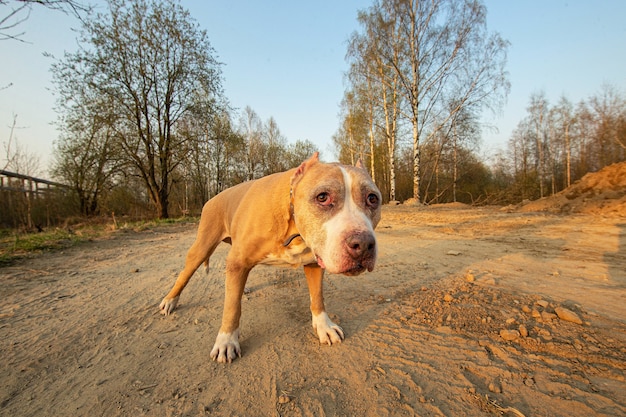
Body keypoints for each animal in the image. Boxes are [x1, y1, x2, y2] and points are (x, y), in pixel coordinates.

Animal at [158, 152, 380, 360]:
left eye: (373, 199)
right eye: (322, 197)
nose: (363, 244)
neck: (293, 224)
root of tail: (213, 197)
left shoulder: (314, 264)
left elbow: (317, 297)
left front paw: (324, 326)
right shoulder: (237, 261)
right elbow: (232, 307)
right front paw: (226, 341)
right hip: (202, 247)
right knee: (185, 275)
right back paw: (170, 301)